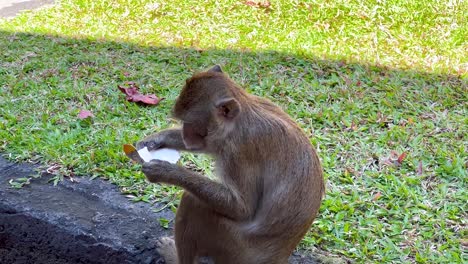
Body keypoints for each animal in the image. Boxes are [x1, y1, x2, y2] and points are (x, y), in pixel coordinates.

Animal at [137, 64, 324, 264]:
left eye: (190, 124)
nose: (186, 137)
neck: (239, 119)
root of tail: (277, 258)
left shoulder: (240, 150)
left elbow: (242, 208)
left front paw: (165, 171)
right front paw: (155, 140)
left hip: (234, 249)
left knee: (192, 202)